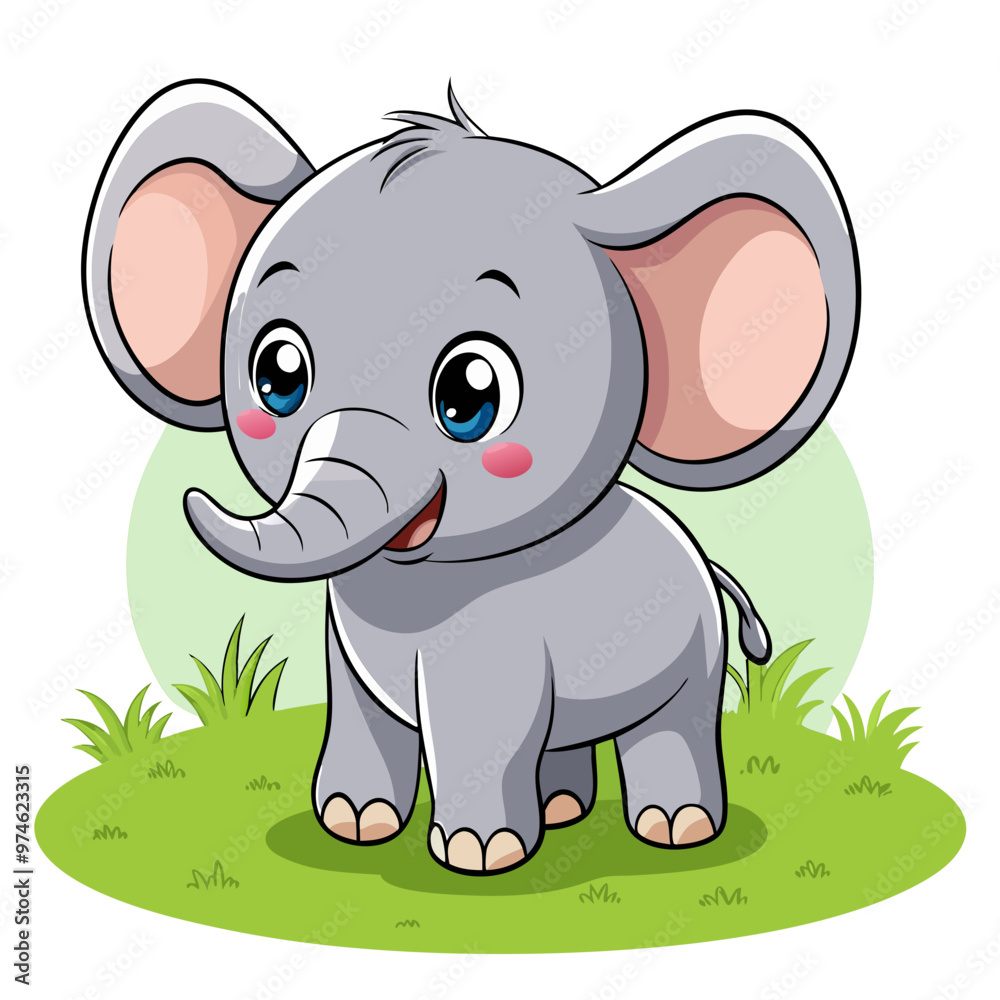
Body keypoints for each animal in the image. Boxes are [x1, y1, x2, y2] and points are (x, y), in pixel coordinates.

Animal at [84, 79, 858, 874]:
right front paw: (353, 823)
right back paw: (562, 810)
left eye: (470, 394)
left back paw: (676, 829)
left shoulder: (497, 644)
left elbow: (480, 728)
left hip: (696, 649)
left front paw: (476, 856)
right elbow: (362, 711)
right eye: (277, 375)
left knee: (674, 724)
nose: (191, 499)